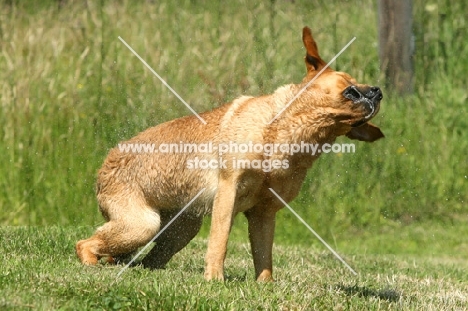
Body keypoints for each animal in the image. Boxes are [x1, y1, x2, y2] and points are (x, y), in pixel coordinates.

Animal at [77, 26, 384, 282]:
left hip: (180, 230)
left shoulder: (264, 213)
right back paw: (91, 264)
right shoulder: (228, 190)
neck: (283, 134)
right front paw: (215, 280)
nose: (379, 91)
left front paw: (265, 287)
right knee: (86, 244)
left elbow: (264, 257)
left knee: (144, 260)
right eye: (351, 88)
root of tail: (104, 165)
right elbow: (220, 241)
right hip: (143, 225)